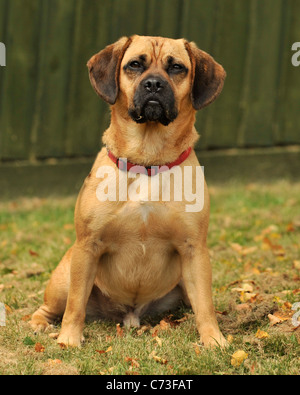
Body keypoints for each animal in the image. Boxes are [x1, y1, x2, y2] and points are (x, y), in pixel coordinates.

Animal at [31, 35, 227, 348]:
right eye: (135, 64)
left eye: (177, 68)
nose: (154, 84)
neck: (148, 161)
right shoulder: (88, 246)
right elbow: (75, 305)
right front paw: (69, 338)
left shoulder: (194, 250)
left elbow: (206, 305)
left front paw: (213, 339)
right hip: (64, 277)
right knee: (52, 306)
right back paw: (40, 324)